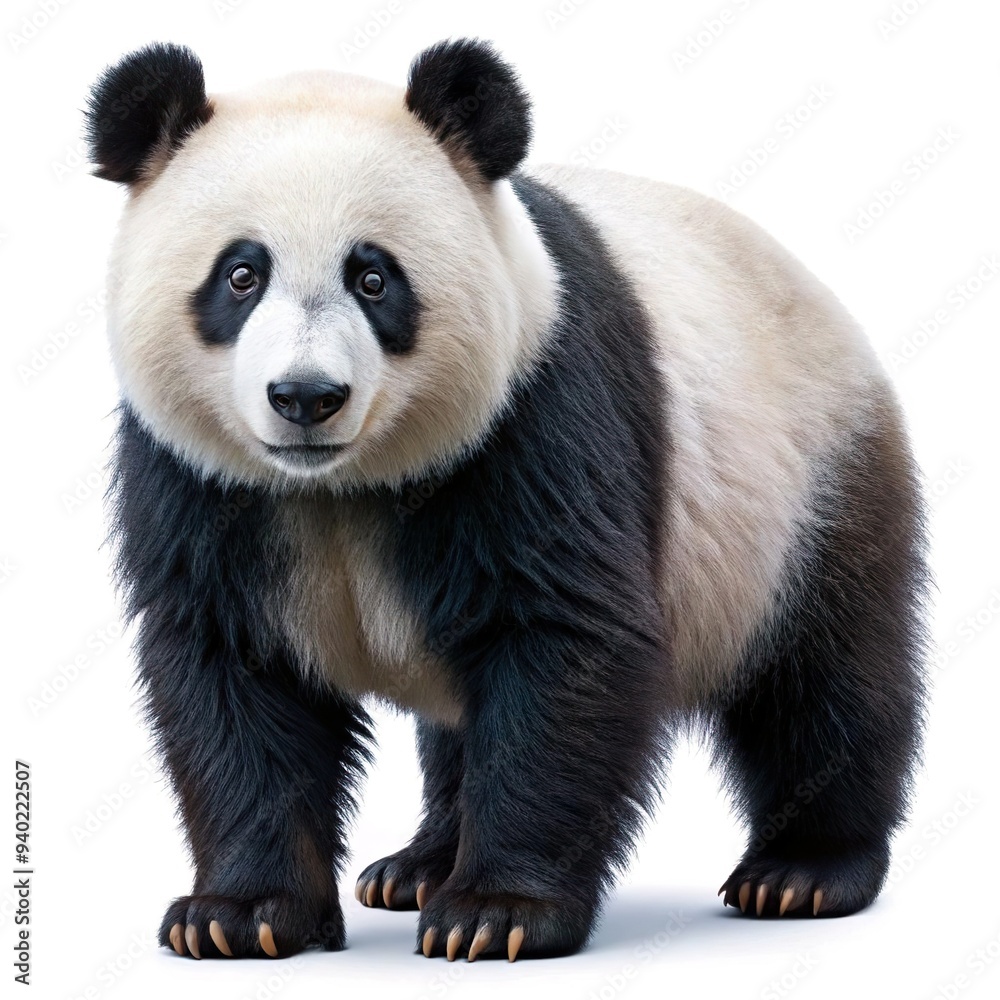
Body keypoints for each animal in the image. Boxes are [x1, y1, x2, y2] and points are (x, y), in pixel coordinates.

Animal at [84, 39, 927, 962]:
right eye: (241, 274)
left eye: (372, 278)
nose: (307, 398)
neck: (338, 485)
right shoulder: (199, 479)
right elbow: (233, 669)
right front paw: (236, 915)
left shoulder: (536, 412)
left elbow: (560, 642)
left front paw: (497, 913)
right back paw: (416, 866)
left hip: (802, 481)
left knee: (822, 676)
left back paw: (804, 872)